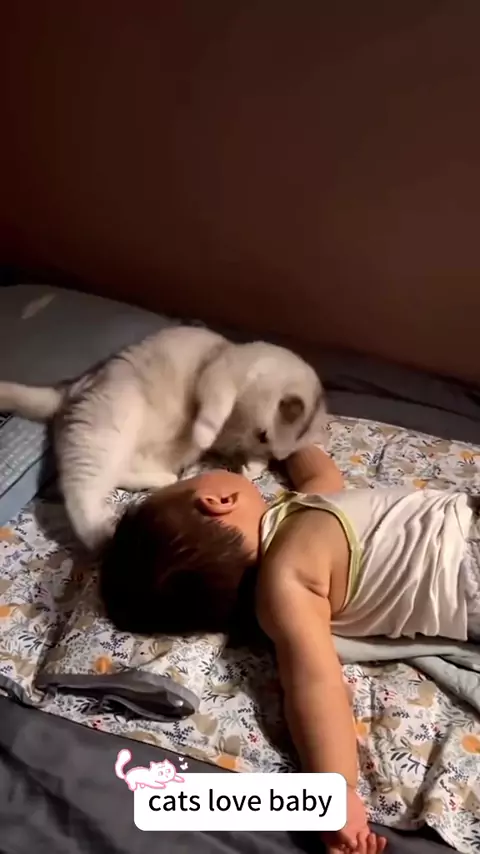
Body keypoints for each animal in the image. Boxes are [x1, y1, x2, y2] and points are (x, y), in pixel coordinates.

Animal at [0, 325, 326, 550]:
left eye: (268, 444)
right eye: (262, 434)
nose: (252, 445)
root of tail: (69, 389)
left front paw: (252, 468)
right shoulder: (219, 376)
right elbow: (214, 408)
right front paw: (205, 434)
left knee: (121, 475)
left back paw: (166, 480)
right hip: (111, 428)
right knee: (80, 491)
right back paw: (102, 533)